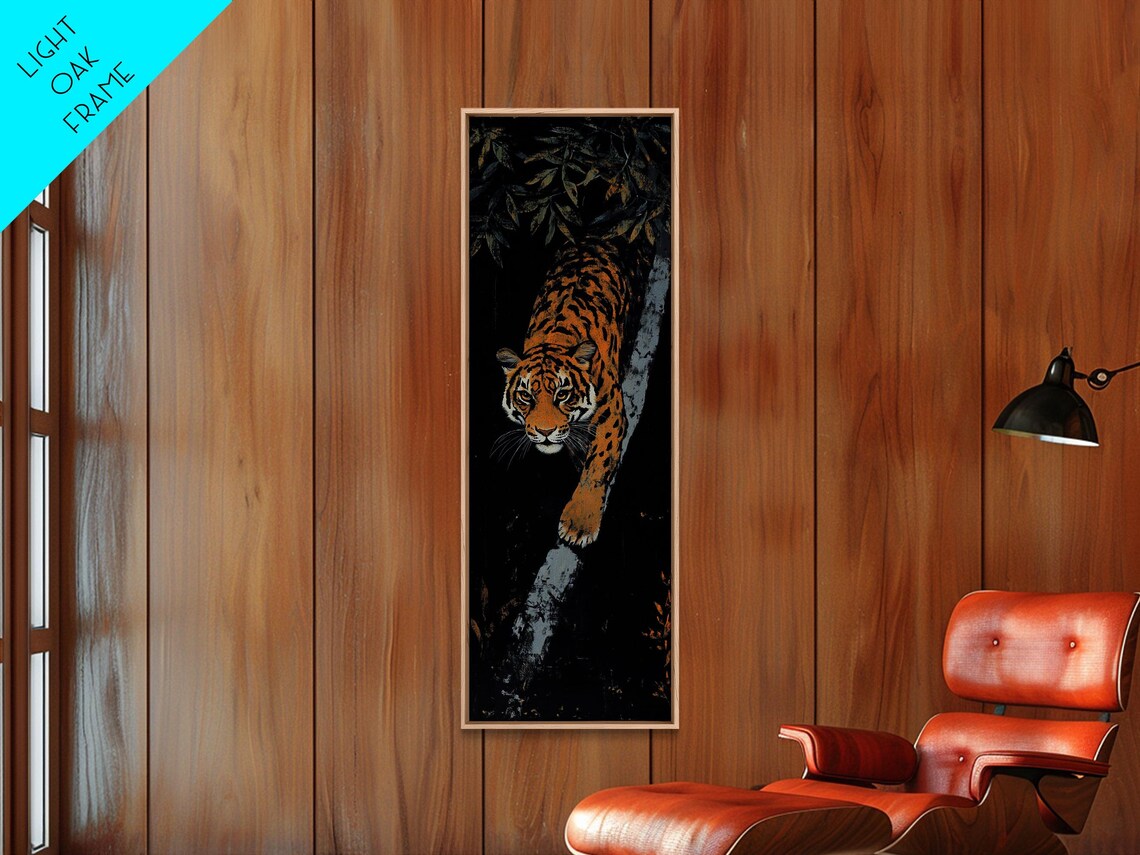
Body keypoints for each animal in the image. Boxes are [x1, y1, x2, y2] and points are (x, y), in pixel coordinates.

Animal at [495, 238, 636, 547]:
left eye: (562, 394)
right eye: (526, 396)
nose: (545, 431)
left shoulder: (611, 414)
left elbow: (598, 464)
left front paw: (580, 523)